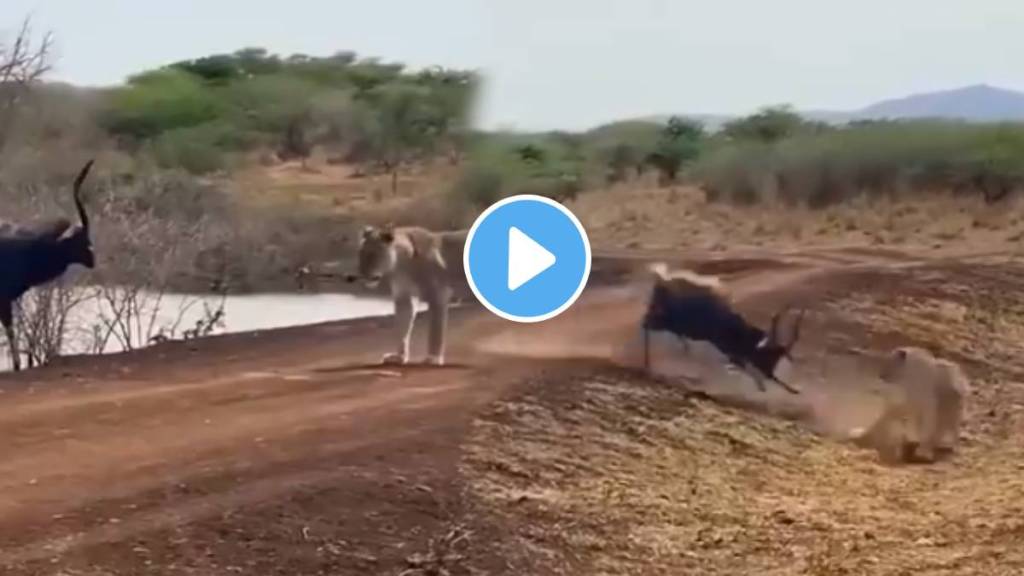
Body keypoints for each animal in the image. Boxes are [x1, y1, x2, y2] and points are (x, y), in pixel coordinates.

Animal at [348, 224, 468, 366]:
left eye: (372, 255)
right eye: (360, 255)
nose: (361, 274)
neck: (400, 267)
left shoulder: (439, 293)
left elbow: (436, 331)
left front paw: (433, 358)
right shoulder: (404, 297)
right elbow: (402, 327)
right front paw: (399, 356)